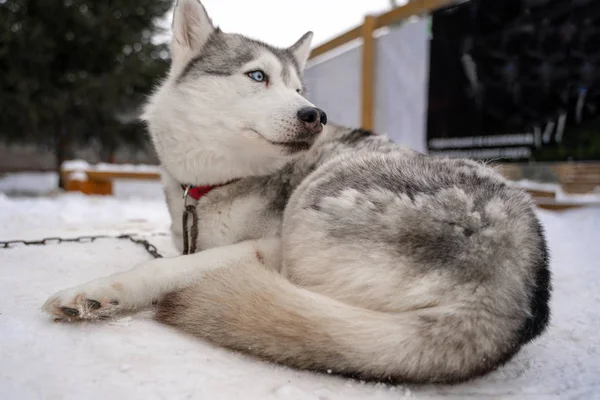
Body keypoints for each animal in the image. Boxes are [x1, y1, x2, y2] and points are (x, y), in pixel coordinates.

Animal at [42, 0, 552, 382]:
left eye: (299, 87)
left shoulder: (267, 245)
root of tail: (510, 290)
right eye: (257, 76)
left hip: (314, 202)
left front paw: (98, 292)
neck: (217, 183)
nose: (315, 115)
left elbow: (167, 266)